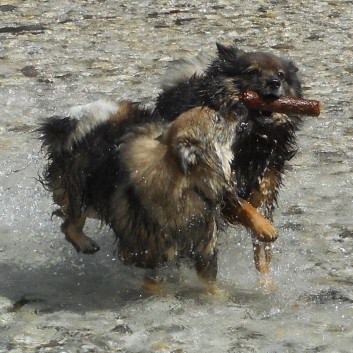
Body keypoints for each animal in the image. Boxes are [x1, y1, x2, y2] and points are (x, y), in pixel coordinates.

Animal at [38, 100, 276, 288]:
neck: (186, 188)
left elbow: (240, 204)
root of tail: (86, 126)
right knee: (70, 223)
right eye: (217, 118)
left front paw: (265, 228)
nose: (241, 105)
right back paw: (85, 243)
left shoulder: (206, 242)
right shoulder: (149, 254)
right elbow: (154, 283)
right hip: (82, 194)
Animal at [154, 42, 302, 274]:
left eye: (281, 74)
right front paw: (264, 227)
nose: (274, 83)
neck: (253, 137)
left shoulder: (270, 173)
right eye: (252, 72)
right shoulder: (215, 182)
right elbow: (242, 206)